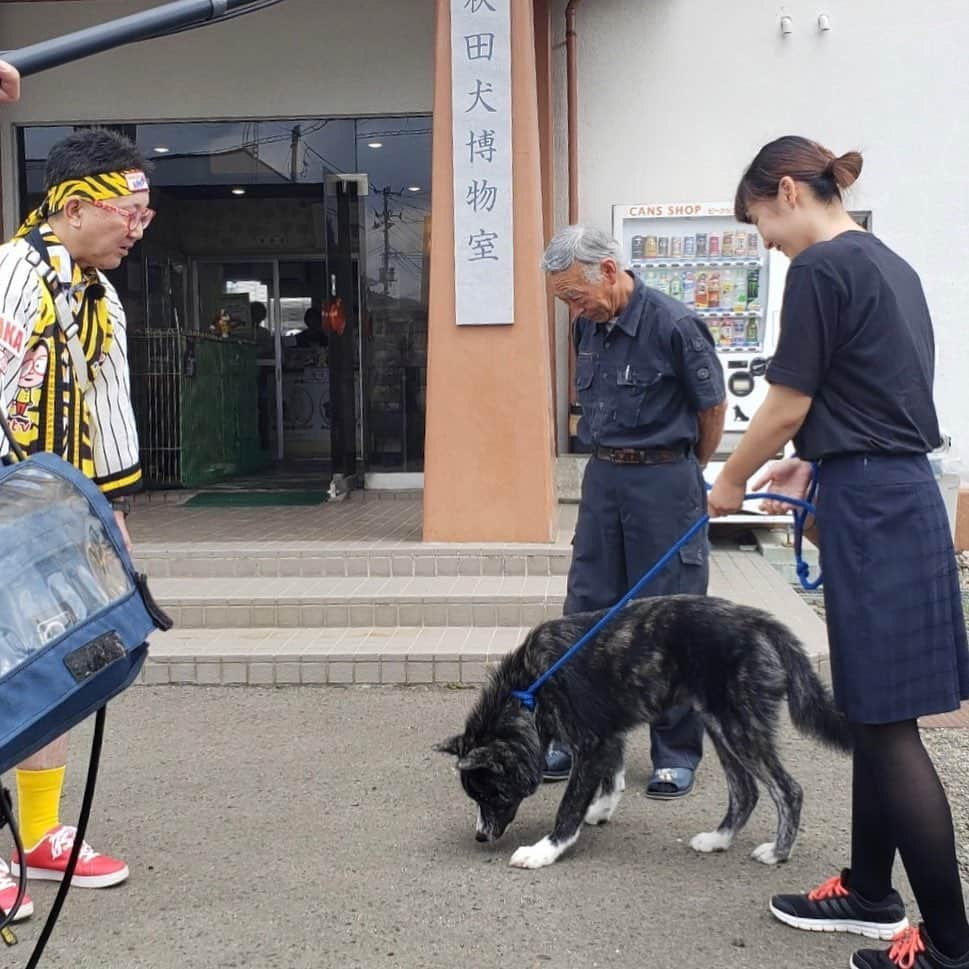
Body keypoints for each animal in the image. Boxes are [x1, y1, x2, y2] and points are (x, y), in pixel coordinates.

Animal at [436, 592, 848, 872]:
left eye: (491, 794)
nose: (480, 836)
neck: (531, 688)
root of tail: (757, 620)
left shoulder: (591, 744)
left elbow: (569, 805)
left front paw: (546, 849)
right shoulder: (608, 737)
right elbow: (612, 779)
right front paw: (601, 810)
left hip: (739, 727)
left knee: (788, 790)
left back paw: (778, 852)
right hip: (720, 726)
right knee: (745, 791)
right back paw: (719, 839)